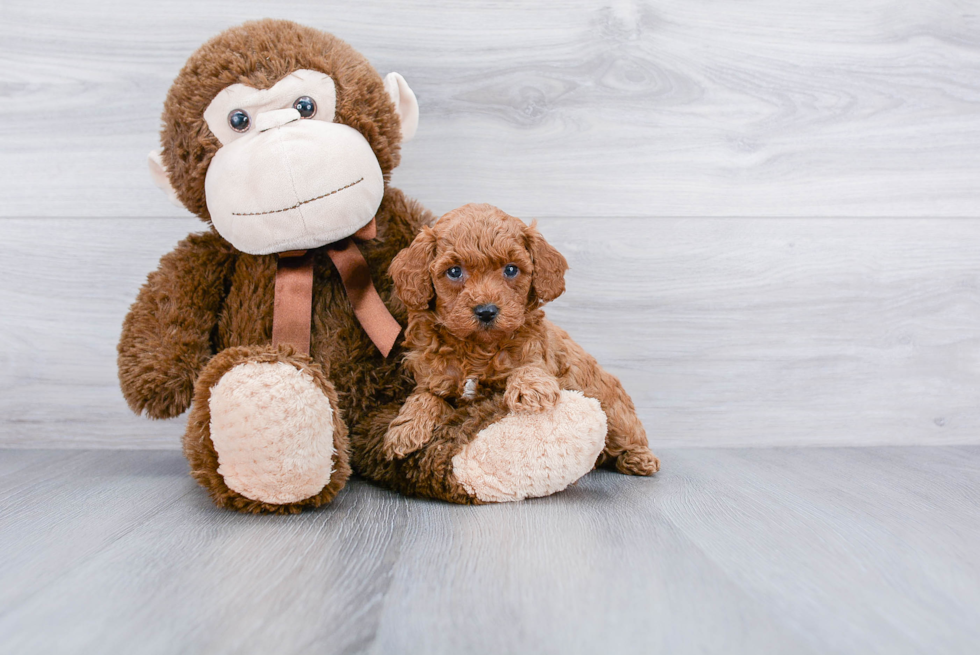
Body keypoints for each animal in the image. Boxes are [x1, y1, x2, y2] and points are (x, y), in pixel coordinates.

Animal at [382, 201, 660, 476]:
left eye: (511, 269)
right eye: (454, 271)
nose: (486, 311)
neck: (477, 347)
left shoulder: (537, 352)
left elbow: (529, 366)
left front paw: (532, 389)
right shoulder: (435, 380)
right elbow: (425, 396)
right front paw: (404, 430)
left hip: (614, 411)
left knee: (628, 434)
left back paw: (639, 458)